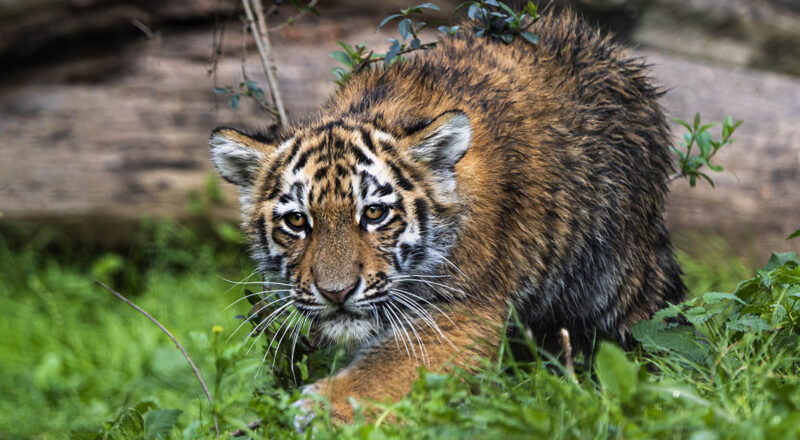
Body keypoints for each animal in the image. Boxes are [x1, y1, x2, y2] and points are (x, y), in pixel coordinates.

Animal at [208, 11, 685, 422]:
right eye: (297, 222)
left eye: (374, 213)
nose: (336, 293)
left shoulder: (465, 308)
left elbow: (392, 366)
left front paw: (324, 408)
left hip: (618, 276)